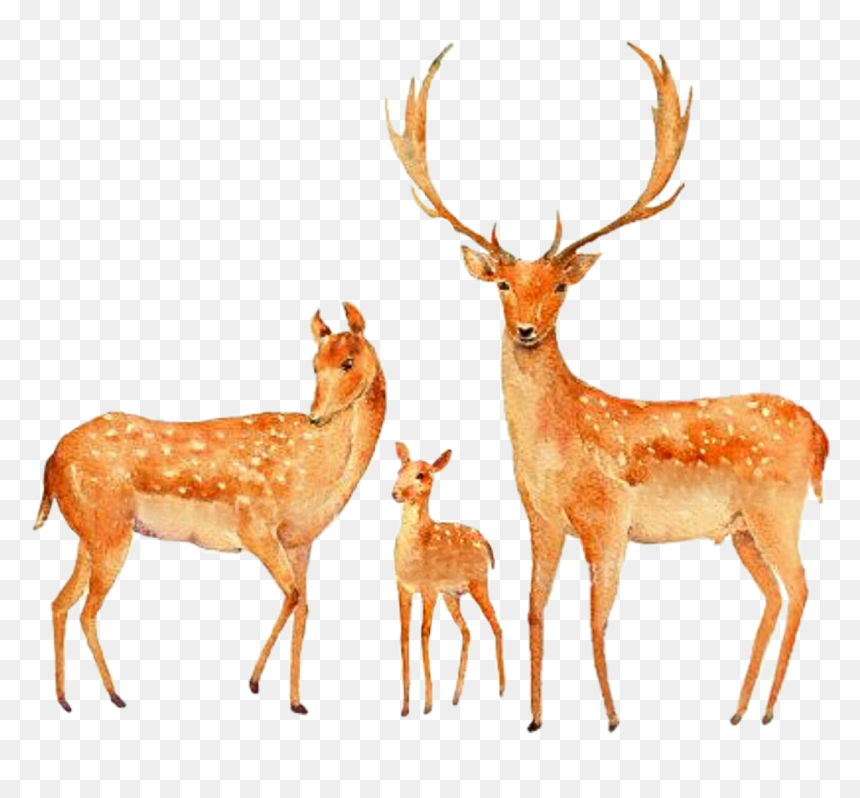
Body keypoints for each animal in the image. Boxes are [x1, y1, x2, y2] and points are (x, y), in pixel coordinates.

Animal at [34, 302, 386, 714]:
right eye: (315, 364)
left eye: (347, 362)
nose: (316, 416)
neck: (320, 472)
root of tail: (50, 463)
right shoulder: (255, 526)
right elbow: (293, 597)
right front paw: (254, 683)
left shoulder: (301, 541)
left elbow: (304, 607)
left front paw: (297, 702)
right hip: (111, 531)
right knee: (87, 610)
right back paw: (115, 695)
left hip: (89, 533)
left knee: (60, 603)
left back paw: (64, 699)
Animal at [392, 442, 505, 716]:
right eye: (400, 469)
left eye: (421, 475)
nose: (395, 492)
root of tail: (487, 545)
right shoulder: (403, 587)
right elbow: (404, 634)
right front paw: (405, 707)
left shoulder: (429, 589)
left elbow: (424, 633)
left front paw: (428, 705)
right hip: (452, 594)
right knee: (467, 631)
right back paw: (455, 696)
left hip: (478, 582)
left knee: (496, 625)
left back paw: (500, 689)